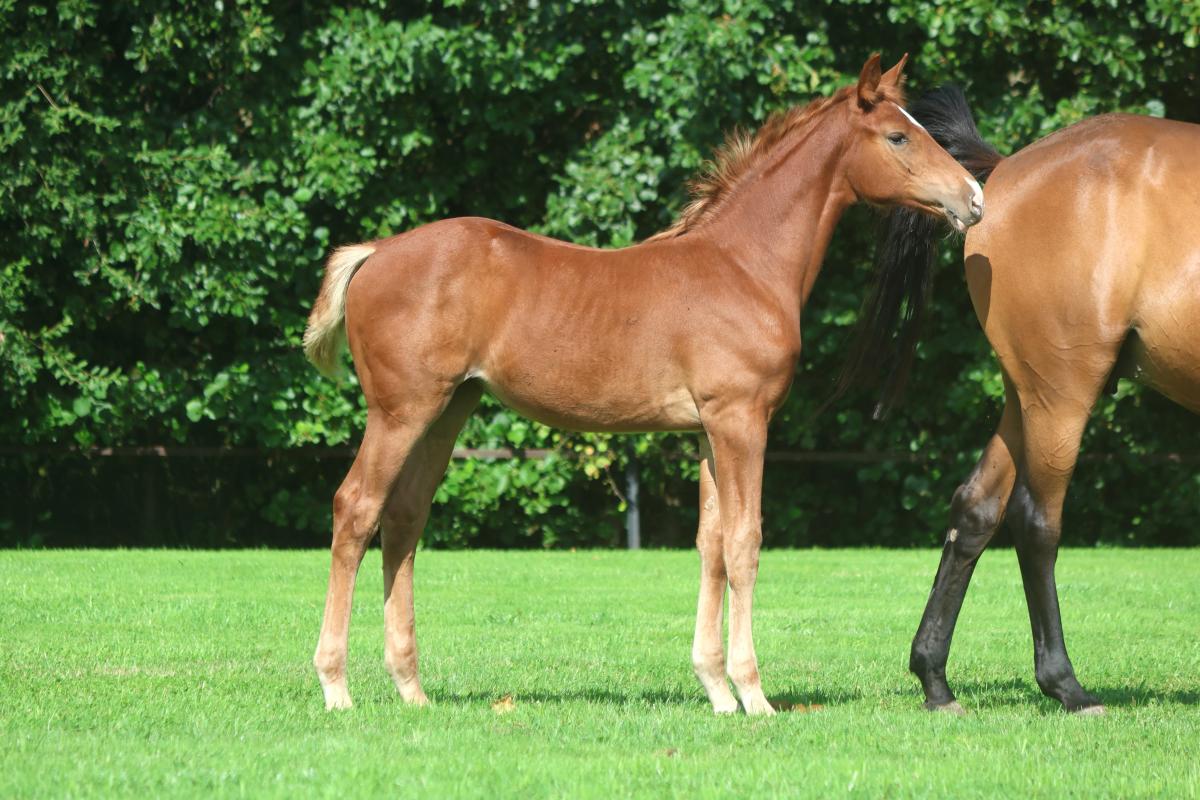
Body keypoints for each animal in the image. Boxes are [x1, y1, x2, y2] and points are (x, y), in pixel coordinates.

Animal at [302, 54, 983, 714]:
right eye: (898, 136)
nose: (973, 198)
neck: (744, 266)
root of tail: (376, 251)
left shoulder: (709, 430)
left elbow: (711, 543)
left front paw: (716, 690)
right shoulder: (742, 421)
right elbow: (745, 542)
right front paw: (753, 694)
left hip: (448, 409)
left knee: (404, 519)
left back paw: (411, 689)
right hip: (402, 410)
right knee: (355, 508)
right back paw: (336, 687)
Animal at [860, 86, 1200, 714]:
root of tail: (1004, 171)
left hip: (1025, 396)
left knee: (975, 508)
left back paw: (934, 678)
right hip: (1061, 393)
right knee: (1035, 521)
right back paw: (1065, 685)